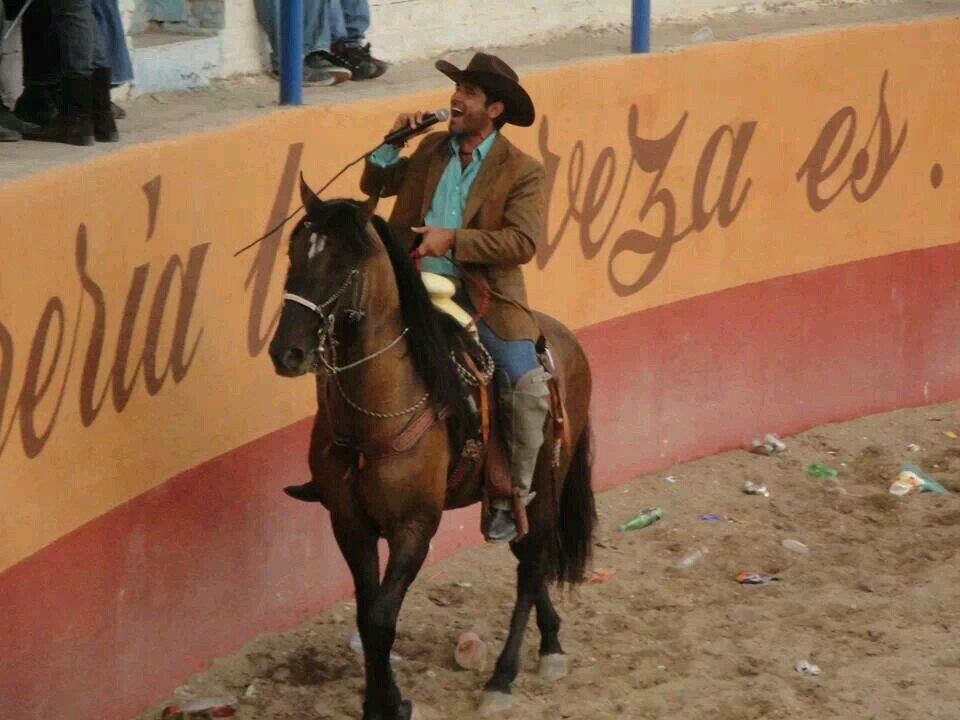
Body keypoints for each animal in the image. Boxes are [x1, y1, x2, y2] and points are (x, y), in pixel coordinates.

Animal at [264, 179, 592, 720]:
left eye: (343, 264)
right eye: (293, 252)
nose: (286, 353)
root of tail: (566, 342)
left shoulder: (414, 526)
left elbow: (381, 618)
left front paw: (389, 705)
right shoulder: (348, 523)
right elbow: (367, 614)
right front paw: (384, 700)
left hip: (546, 484)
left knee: (532, 564)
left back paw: (505, 675)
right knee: (528, 554)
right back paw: (551, 640)